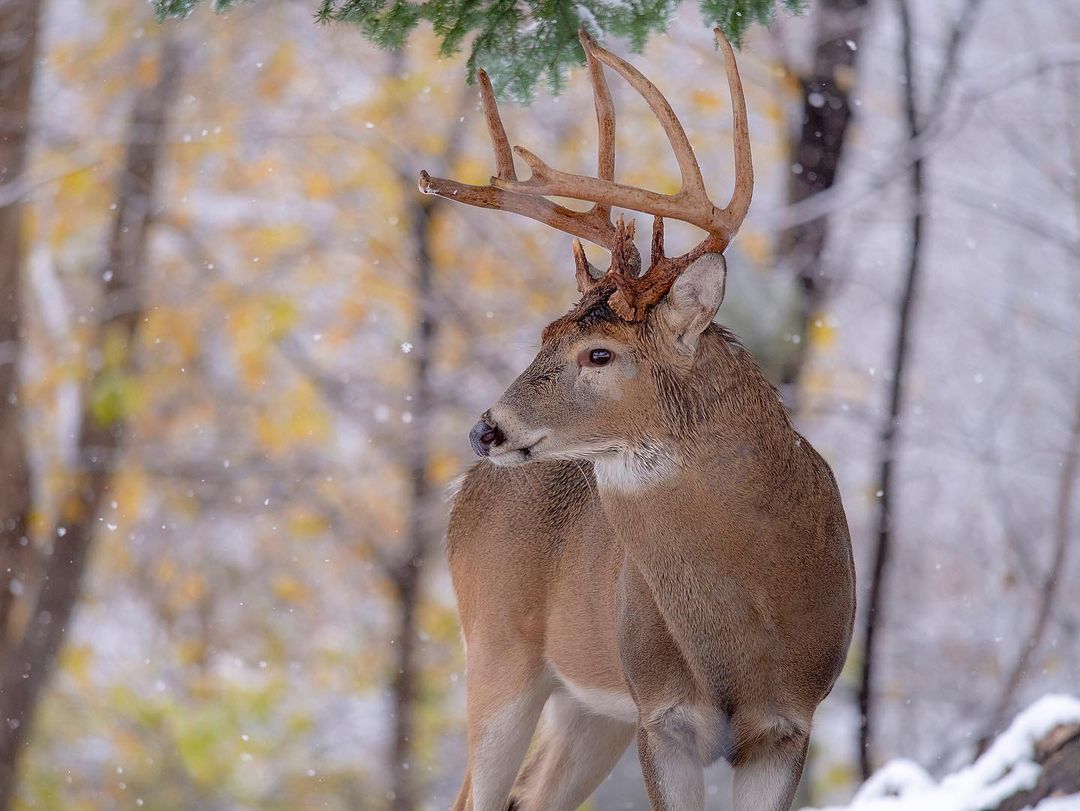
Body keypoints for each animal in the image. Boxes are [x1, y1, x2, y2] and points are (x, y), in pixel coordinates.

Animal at [416, 28, 855, 811]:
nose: (485, 429)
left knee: (533, 792)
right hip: (498, 649)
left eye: (599, 352)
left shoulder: (788, 722)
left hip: (591, 706)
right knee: (479, 793)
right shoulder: (663, 711)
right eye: (542, 335)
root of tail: (465, 489)